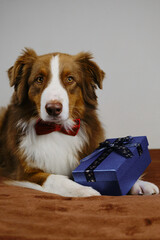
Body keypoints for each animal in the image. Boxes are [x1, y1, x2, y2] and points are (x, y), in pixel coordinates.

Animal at [0, 48, 158, 197]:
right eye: (39, 79)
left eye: (70, 79)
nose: (53, 109)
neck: (57, 129)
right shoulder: (22, 173)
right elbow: (55, 178)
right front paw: (81, 189)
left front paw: (139, 183)